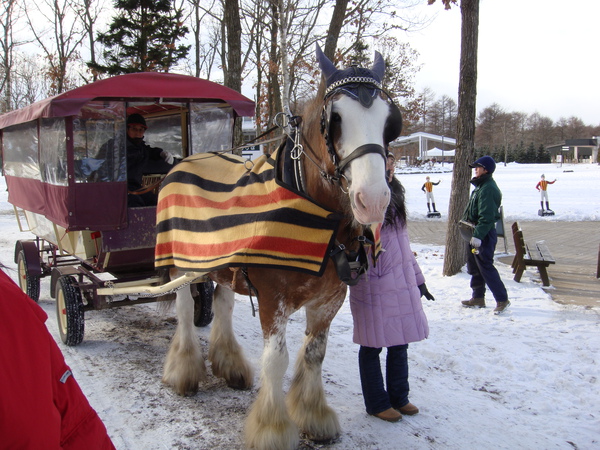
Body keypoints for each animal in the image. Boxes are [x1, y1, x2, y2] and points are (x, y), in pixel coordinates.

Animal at [155, 46, 404, 450]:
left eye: (389, 121)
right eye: (334, 119)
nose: (373, 200)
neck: (319, 220)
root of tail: (180, 161)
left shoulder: (328, 300)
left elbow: (315, 354)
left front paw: (314, 415)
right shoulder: (274, 300)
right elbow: (276, 361)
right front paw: (272, 429)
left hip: (224, 264)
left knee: (223, 302)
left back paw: (229, 364)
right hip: (182, 266)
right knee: (185, 309)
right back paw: (184, 371)